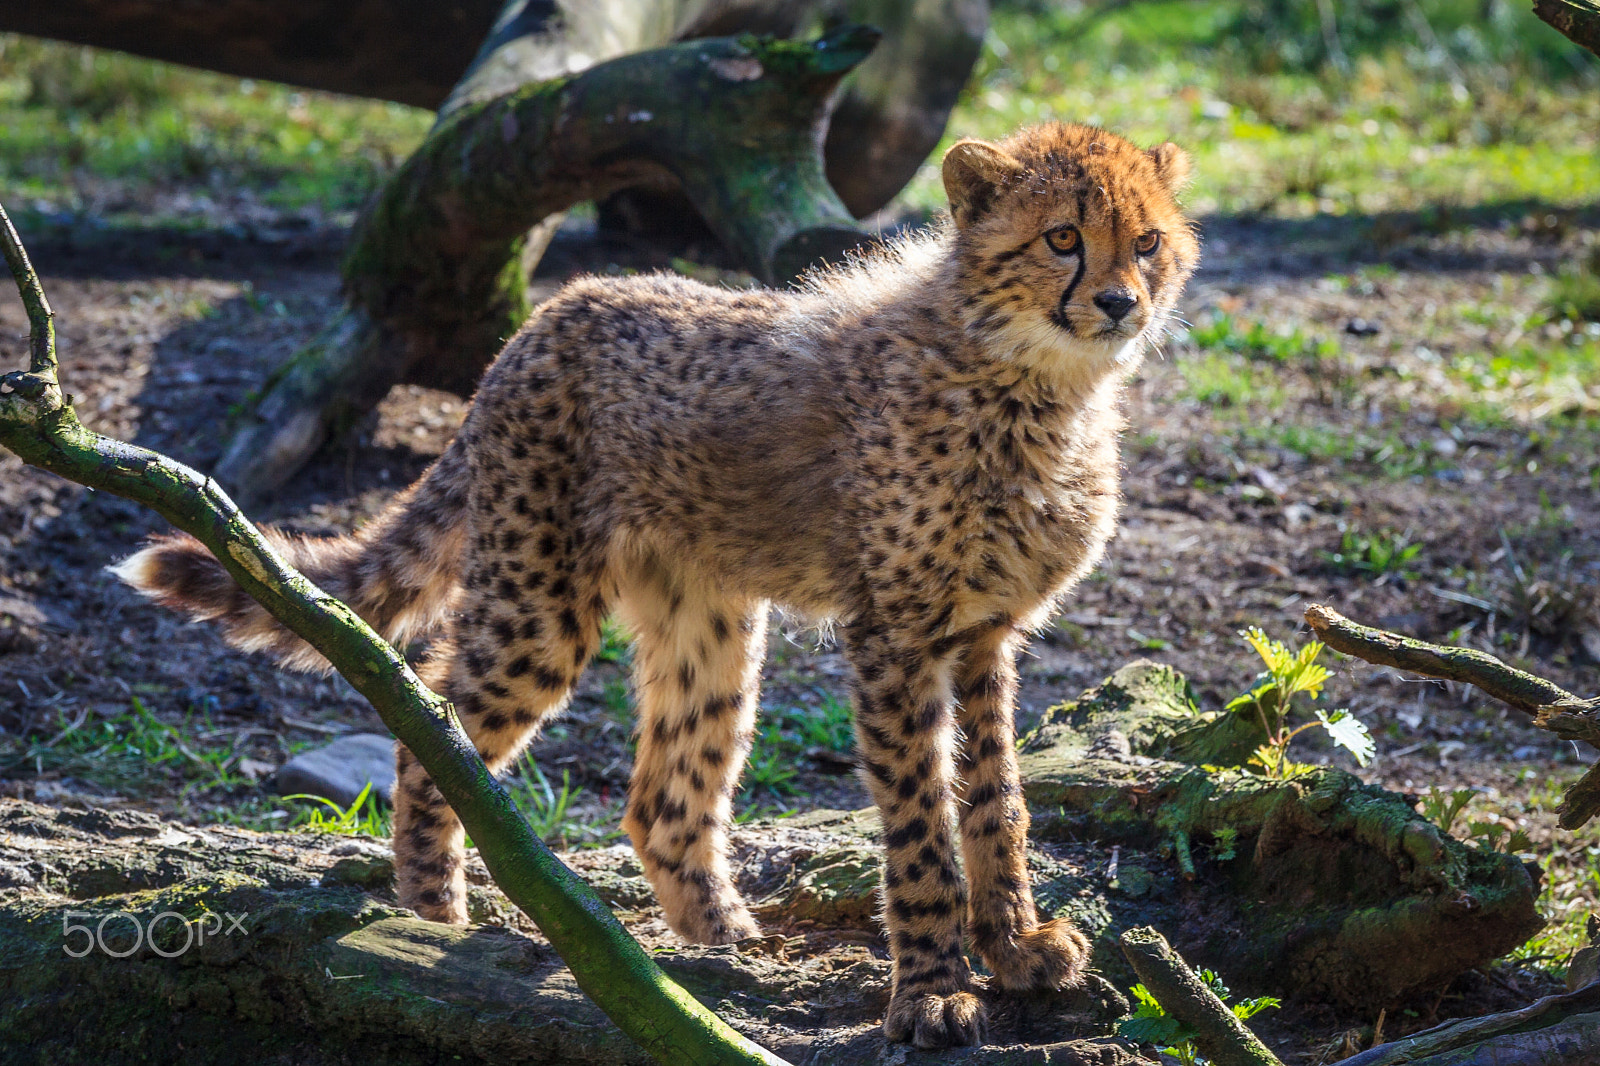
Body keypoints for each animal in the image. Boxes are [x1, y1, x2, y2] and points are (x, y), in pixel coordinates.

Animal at [115, 121, 1199, 1049]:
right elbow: (921, 824)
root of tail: (555, 310)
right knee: (431, 729)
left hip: (708, 620)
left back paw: (719, 941)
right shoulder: (894, 633)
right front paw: (932, 992)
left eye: (1146, 242)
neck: (1035, 386)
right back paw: (431, 921)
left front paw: (1014, 948)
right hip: (538, 606)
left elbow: (995, 801)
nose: (1119, 303)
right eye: (1063, 238)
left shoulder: (982, 635)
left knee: (659, 798)